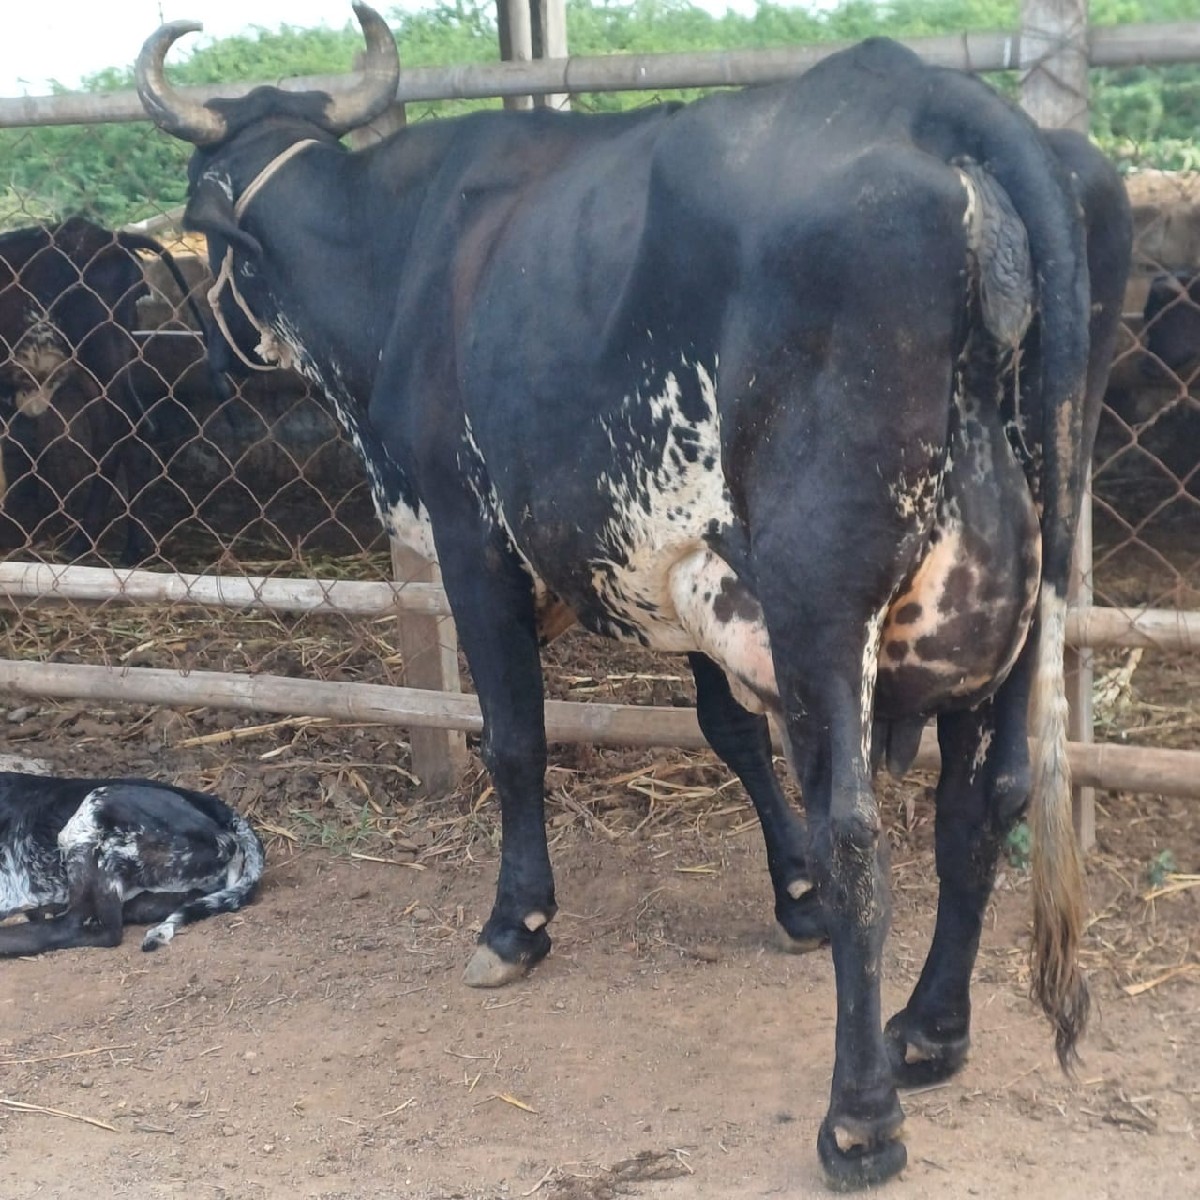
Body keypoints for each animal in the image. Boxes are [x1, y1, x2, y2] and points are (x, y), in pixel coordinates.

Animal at [0, 216, 226, 564]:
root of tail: (110, 236)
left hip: (102, 349)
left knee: (132, 426)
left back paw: (125, 546)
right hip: (96, 364)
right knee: (110, 433)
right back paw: (87, 541)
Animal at [136, 7, 1131, 1187]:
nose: (208, 361)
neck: (399, 257)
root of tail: (937, 96)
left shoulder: (474, 543)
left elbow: (515, 740)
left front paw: (516, 923)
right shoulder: (681, 561)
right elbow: (726, 733)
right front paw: (793, 897)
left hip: (823, 595)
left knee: (863, 833)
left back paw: (860, 1117)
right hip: (1018, 598)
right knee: (985, 803)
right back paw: (930, 1032)